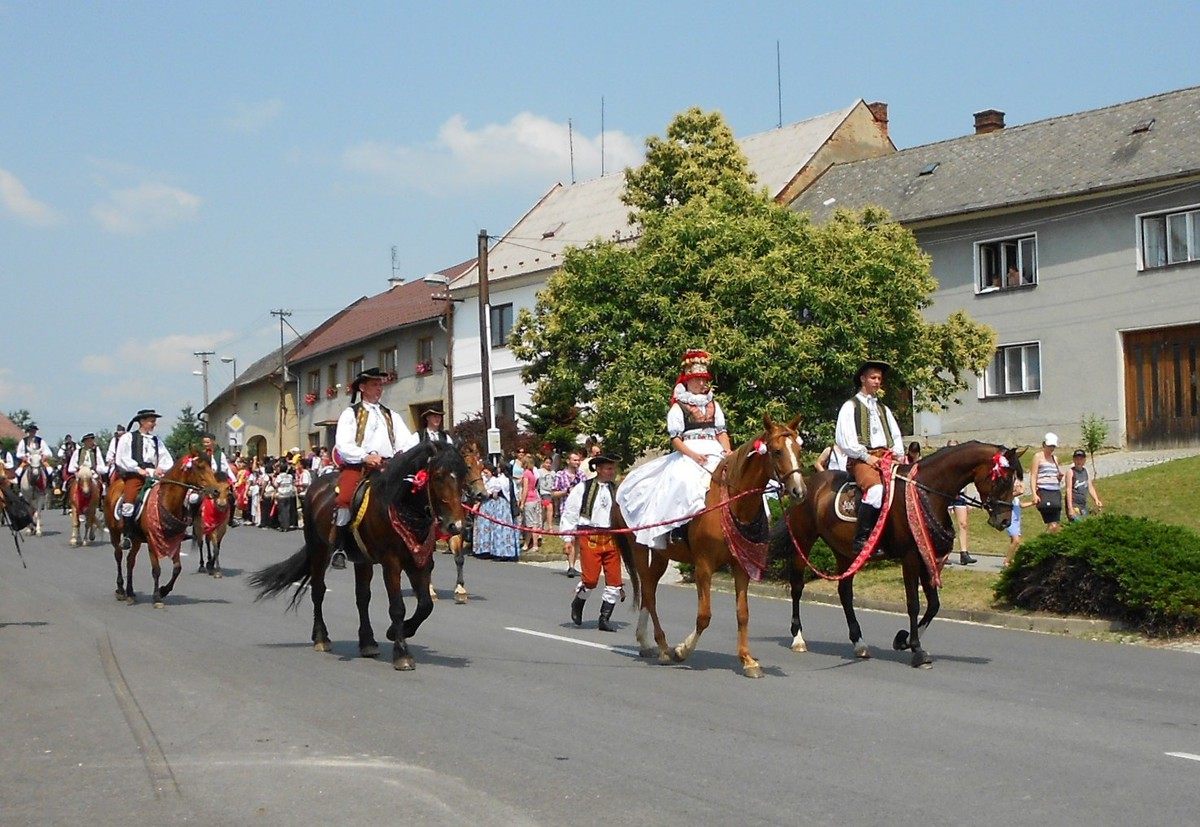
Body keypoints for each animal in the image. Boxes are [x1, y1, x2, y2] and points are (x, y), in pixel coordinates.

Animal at [102, 451, 228, 607]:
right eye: (200, 467)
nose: (216, 491)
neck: (166, 502)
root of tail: (115, 484)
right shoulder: (151, 541)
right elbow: (156, 570)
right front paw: (157, 596)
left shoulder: (176, 540)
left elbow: (177, 568)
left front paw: (164, 590)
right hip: (114, 533)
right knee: (118, 556)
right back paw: (120, 590)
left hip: (136, 539)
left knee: (130, 561)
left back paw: (130, 592)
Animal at [248, 439, 468, 672]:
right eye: (438, 476)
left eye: (463, 474)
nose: (456, 525)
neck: (399, 506)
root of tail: (316, 486)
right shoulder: (392, 562)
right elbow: (397, 607)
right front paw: (402, 653)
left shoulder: (420, 560)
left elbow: (426, 604)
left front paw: (397, 631)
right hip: (319, 549)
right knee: (318, 591)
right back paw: (321, 638)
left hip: (362, 560)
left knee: (362, 597)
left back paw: (367, 642)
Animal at [619, 412, 806, 676]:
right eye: (777, 451)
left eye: (799, 450)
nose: (799, 491)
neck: (732, 503)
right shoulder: (704, 566)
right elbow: (704, 615)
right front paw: (682, 650)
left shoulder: (741, 566)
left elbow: (743, 613)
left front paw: (747, 660)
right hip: (639, 548)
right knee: (648, 593)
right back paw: (664, 648)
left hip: (660, 554)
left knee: (649, 590)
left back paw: (646, 642)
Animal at [772, 441, 1017, 667]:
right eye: (1003, 480)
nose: (1005, 520)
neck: (925, 491)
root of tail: (805, 484)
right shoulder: (910, 558)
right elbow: (913, 604)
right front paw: (917, 650)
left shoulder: (925, 555)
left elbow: (934, 605)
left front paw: (904, 640)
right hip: (804, 541)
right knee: (797, 586)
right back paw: (798, 638)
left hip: (845, 552)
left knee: (845, 592)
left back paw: (859, 642)